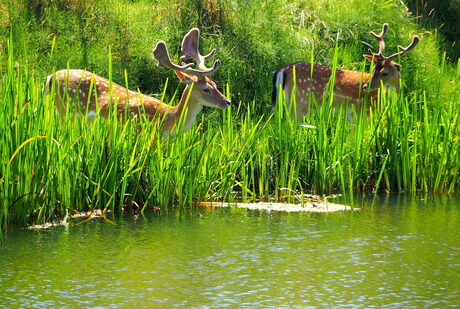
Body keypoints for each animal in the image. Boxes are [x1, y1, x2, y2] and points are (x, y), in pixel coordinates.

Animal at [47, 27, 230, 135]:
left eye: (216, 85)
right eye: (206, 89)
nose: (227, 101)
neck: (168, 120)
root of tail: (50, 77)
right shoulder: (143, 134)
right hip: (65, 110)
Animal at [274, 23, 420, 120]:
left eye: (385, 73)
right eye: (373, 69)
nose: (365, 86)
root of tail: (282, 70)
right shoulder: (362, 114)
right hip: (300, 103)